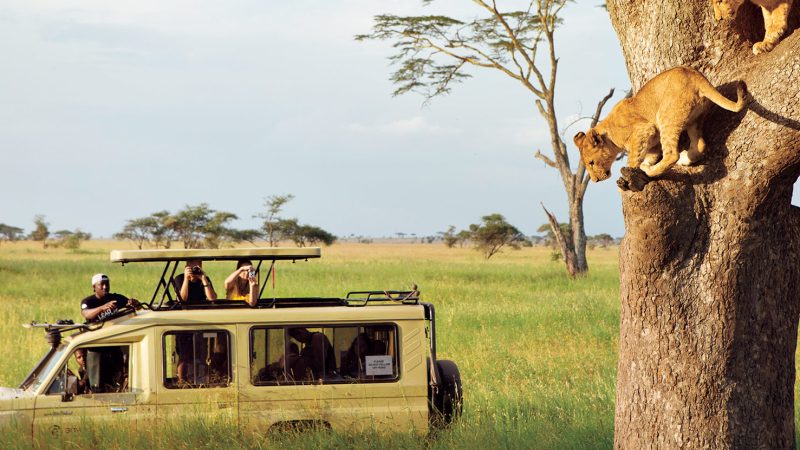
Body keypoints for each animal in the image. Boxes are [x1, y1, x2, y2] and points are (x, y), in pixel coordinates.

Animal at [573, 66, 747, 187]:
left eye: (591, 163)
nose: (595, 180)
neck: (609, 134)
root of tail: (695, 75)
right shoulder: (652, 142)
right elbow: (648, 156)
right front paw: (644, 166)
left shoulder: (643, 130)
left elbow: (633, 159)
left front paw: (630, 176)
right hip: (694, 120)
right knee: (701, 144)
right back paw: (684, 158)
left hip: (666, 116)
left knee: (671, 155)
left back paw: (653, 172)